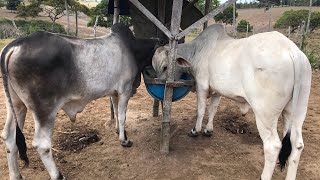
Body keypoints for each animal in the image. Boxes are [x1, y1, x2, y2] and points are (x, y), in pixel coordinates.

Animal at [0, 23, 160, 179]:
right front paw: (124, 140)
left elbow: (115, 111)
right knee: (42, 144)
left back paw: (16, 175)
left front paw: (119, 132)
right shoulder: (125, 90)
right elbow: (122, 116)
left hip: (17, 105)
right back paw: (58, 175)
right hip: (45, 110)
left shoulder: (114, 93)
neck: (132, 48)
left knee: (9, 137)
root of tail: (15, 45)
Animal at [152, 24, 312, 180]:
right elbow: (212, 110)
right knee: (297, 144)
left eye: (165, 67)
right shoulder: (217, 91)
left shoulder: (201, 86)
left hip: (265, 114)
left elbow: (201, 110)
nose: (159, 86)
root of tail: (292, 51)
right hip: (296, 111)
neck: (198, 50)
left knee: (273, 146)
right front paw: (208, 130)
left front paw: (195, 130)